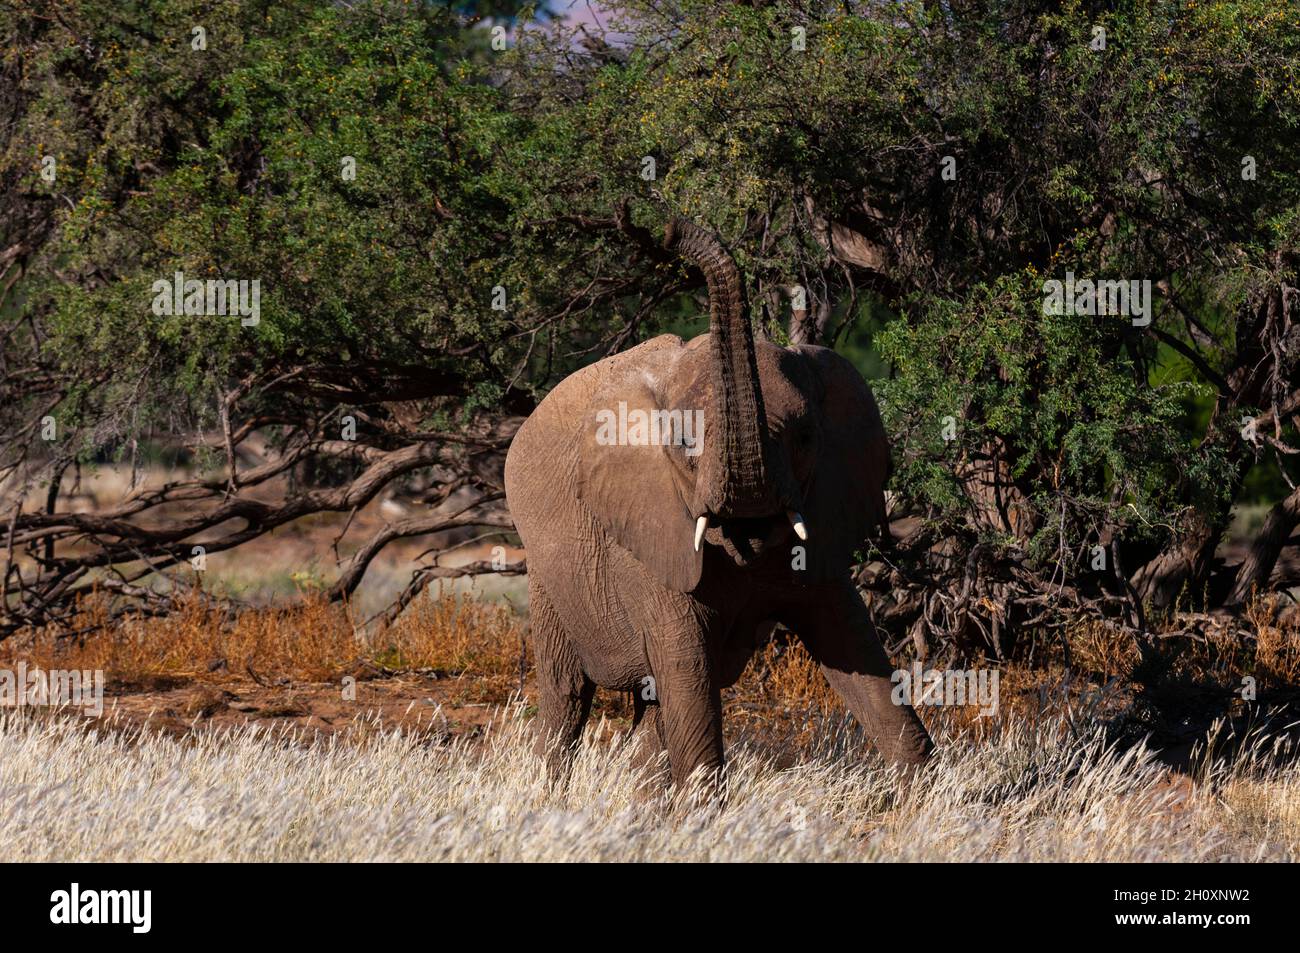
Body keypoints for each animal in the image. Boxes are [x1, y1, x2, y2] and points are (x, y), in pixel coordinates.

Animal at [503, 218, 933, 789]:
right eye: (685, 443)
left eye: (804, 438)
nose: (667, 228)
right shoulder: (647, 536)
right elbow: (687, 668)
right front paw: (705, 805)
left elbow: (855, 646)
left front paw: (930, 793)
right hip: (547, 575)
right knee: (567, 693)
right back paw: (553, 787)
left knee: (652, 706)